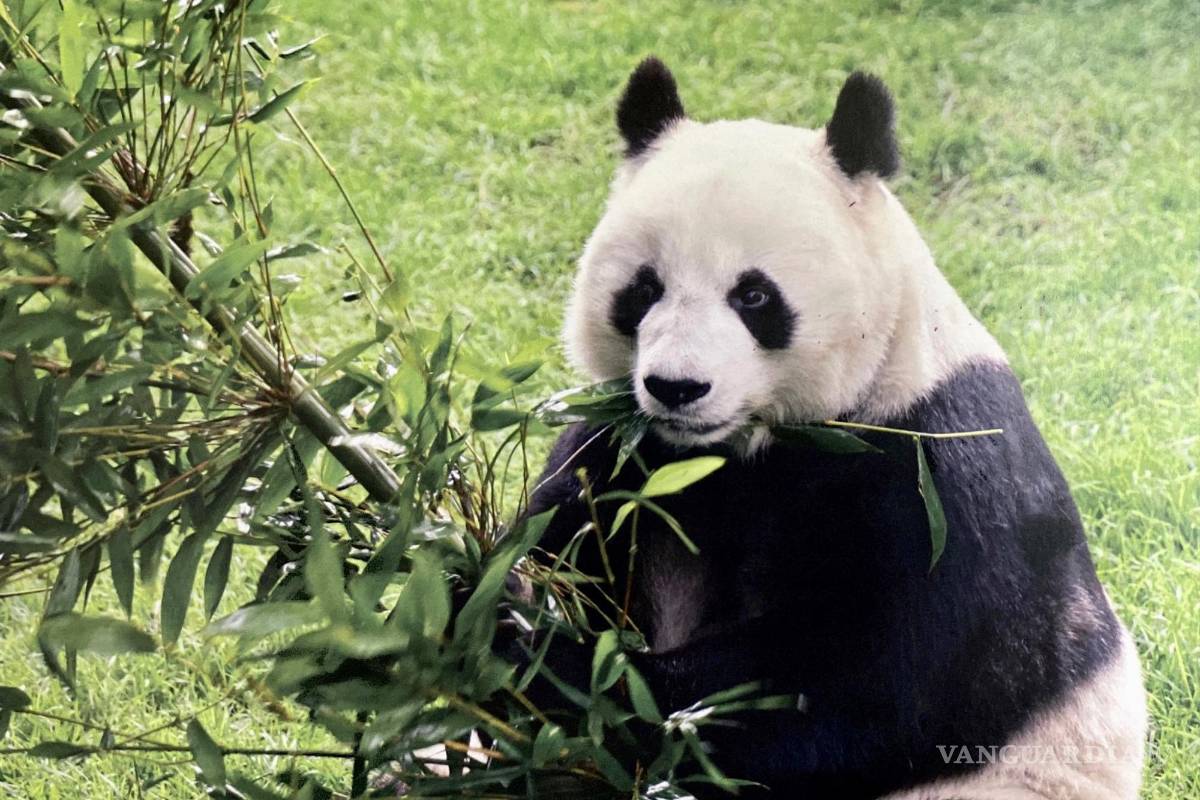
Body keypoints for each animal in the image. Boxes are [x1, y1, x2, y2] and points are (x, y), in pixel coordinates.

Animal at [523, 57, 1146, 799]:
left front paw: (546, 654)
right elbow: (562, 538)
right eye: (644, 290)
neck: (741, 449)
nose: (677, 387)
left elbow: (866, 697)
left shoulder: (937, 481)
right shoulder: (627, 452)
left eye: (754, 295)